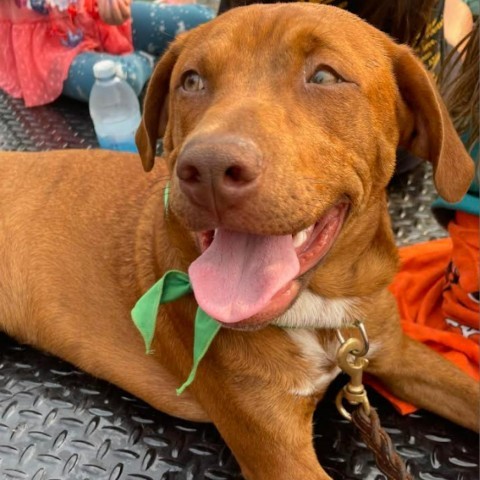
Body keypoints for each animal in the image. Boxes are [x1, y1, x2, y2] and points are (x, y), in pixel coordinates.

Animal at [0, 3, 478, 480]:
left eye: (325, 77)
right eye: (191, 81)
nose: (209, 169)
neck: (321, 314)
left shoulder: (395, 351)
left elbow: (468, 390)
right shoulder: (279, 456)